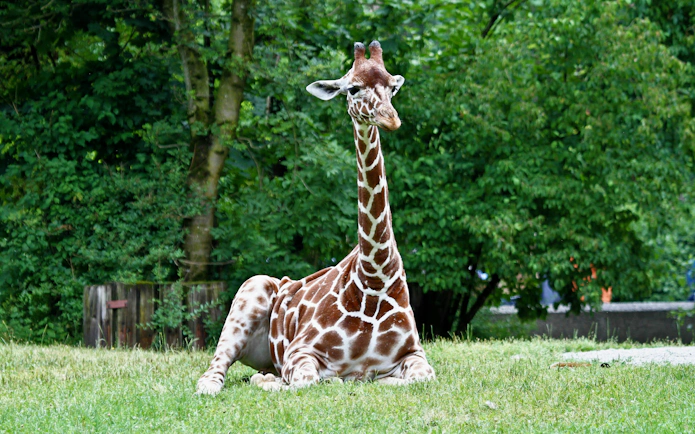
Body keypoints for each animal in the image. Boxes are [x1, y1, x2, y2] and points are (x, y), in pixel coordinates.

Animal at [196, 41, 435, 394]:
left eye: (393, 86)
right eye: (353, 88)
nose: (390, 119)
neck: (374, 279)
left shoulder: (415, 354)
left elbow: (415, 378)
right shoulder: (299, 352)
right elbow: (310, 381)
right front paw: (271, 382)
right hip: (250, 291)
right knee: (213, 370)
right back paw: (243, 380)